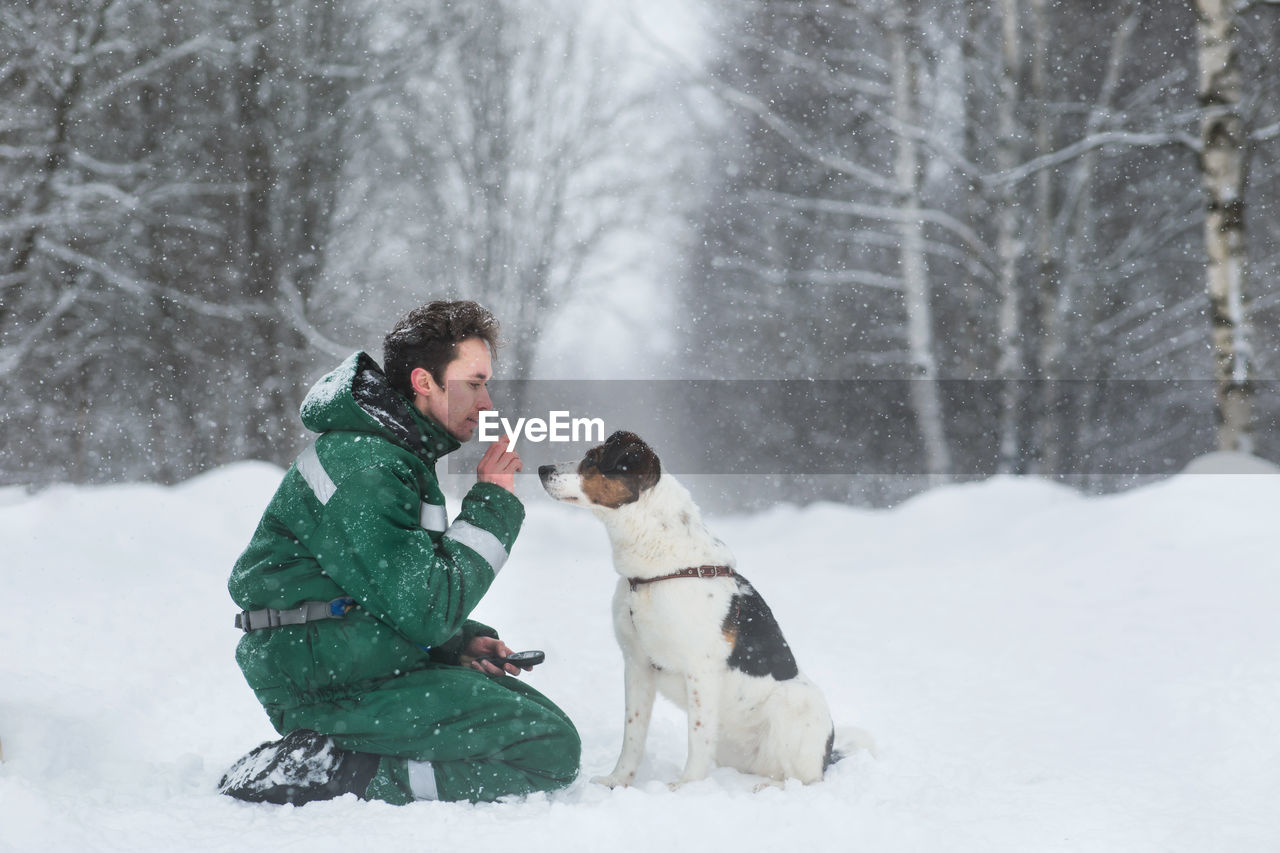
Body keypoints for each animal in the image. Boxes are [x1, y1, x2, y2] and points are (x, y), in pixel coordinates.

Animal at [535, 427, 834, 788]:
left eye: (592, 459)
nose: (542, 469)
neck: (654, 572)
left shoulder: (700, 670)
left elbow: (697, 735)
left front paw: (685, 786)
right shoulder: (636, 665)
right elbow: (632, 735)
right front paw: (618, 781)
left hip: (794, 702)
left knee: (804, 779)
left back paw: (767, 787)